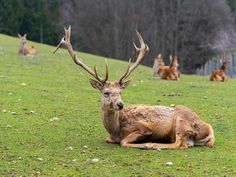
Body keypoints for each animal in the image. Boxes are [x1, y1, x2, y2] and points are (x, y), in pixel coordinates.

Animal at [54, 25, 215, 149]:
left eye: (120, 92)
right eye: (106, 92)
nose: (120, 104)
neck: (116, 129)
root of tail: (209, 130)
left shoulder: (144, 128)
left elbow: (124, 141)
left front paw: (143, 143)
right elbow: (109, 139)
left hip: (182, 120)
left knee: (180, 144)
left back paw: (151, 145)